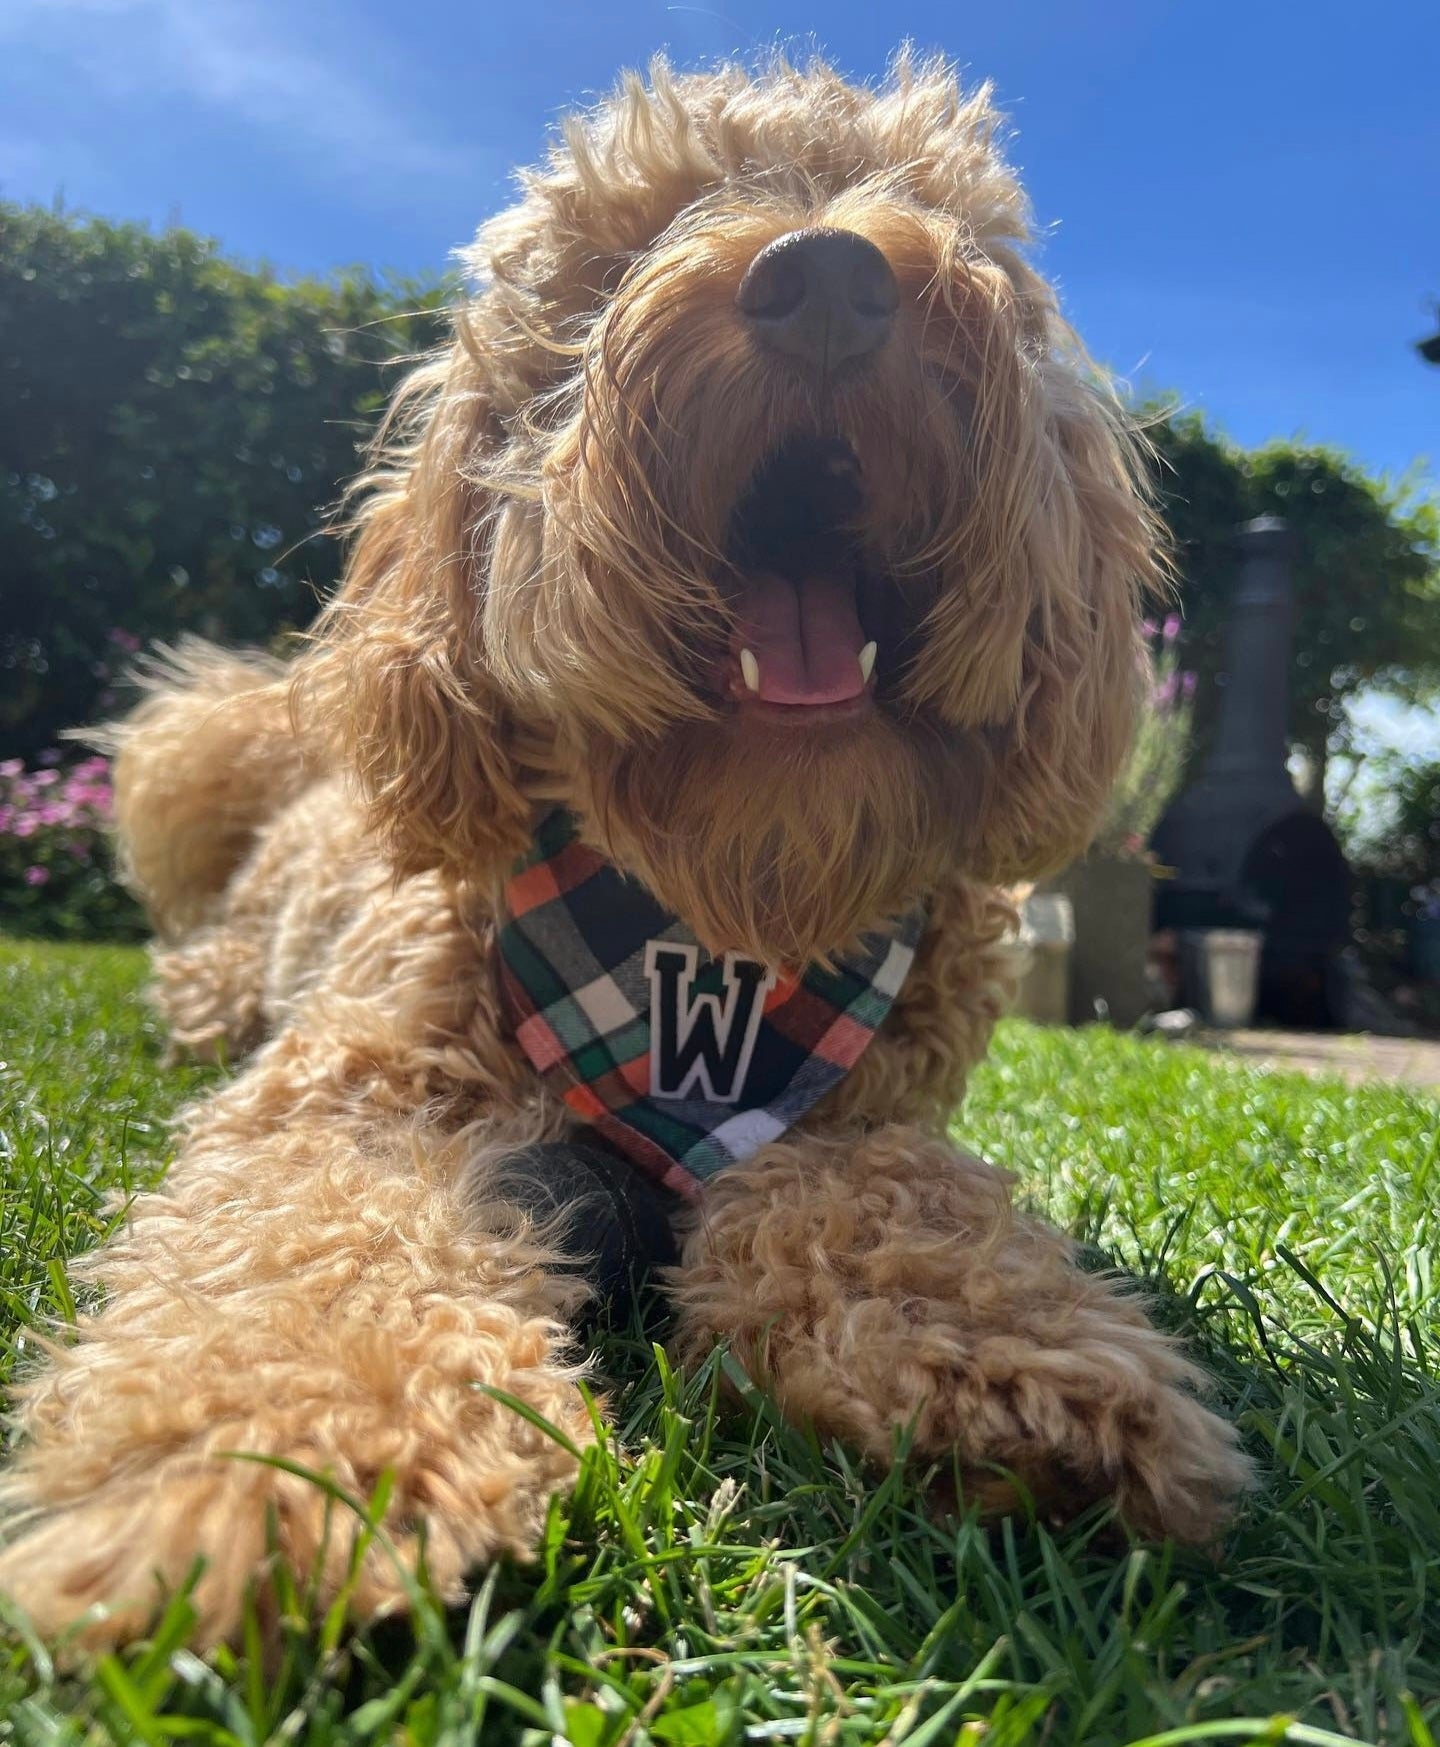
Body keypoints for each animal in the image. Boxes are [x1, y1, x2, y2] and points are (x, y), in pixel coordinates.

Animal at [0, 51, 1251, 1635]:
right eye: (619, 252)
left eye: (931, 211)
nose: (828, 275)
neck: (711, 933)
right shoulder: (355, 1095)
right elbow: (313, 1242)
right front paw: (279, 1472)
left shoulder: (859, 1122)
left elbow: (885, 1205)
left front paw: (1016, 1363)